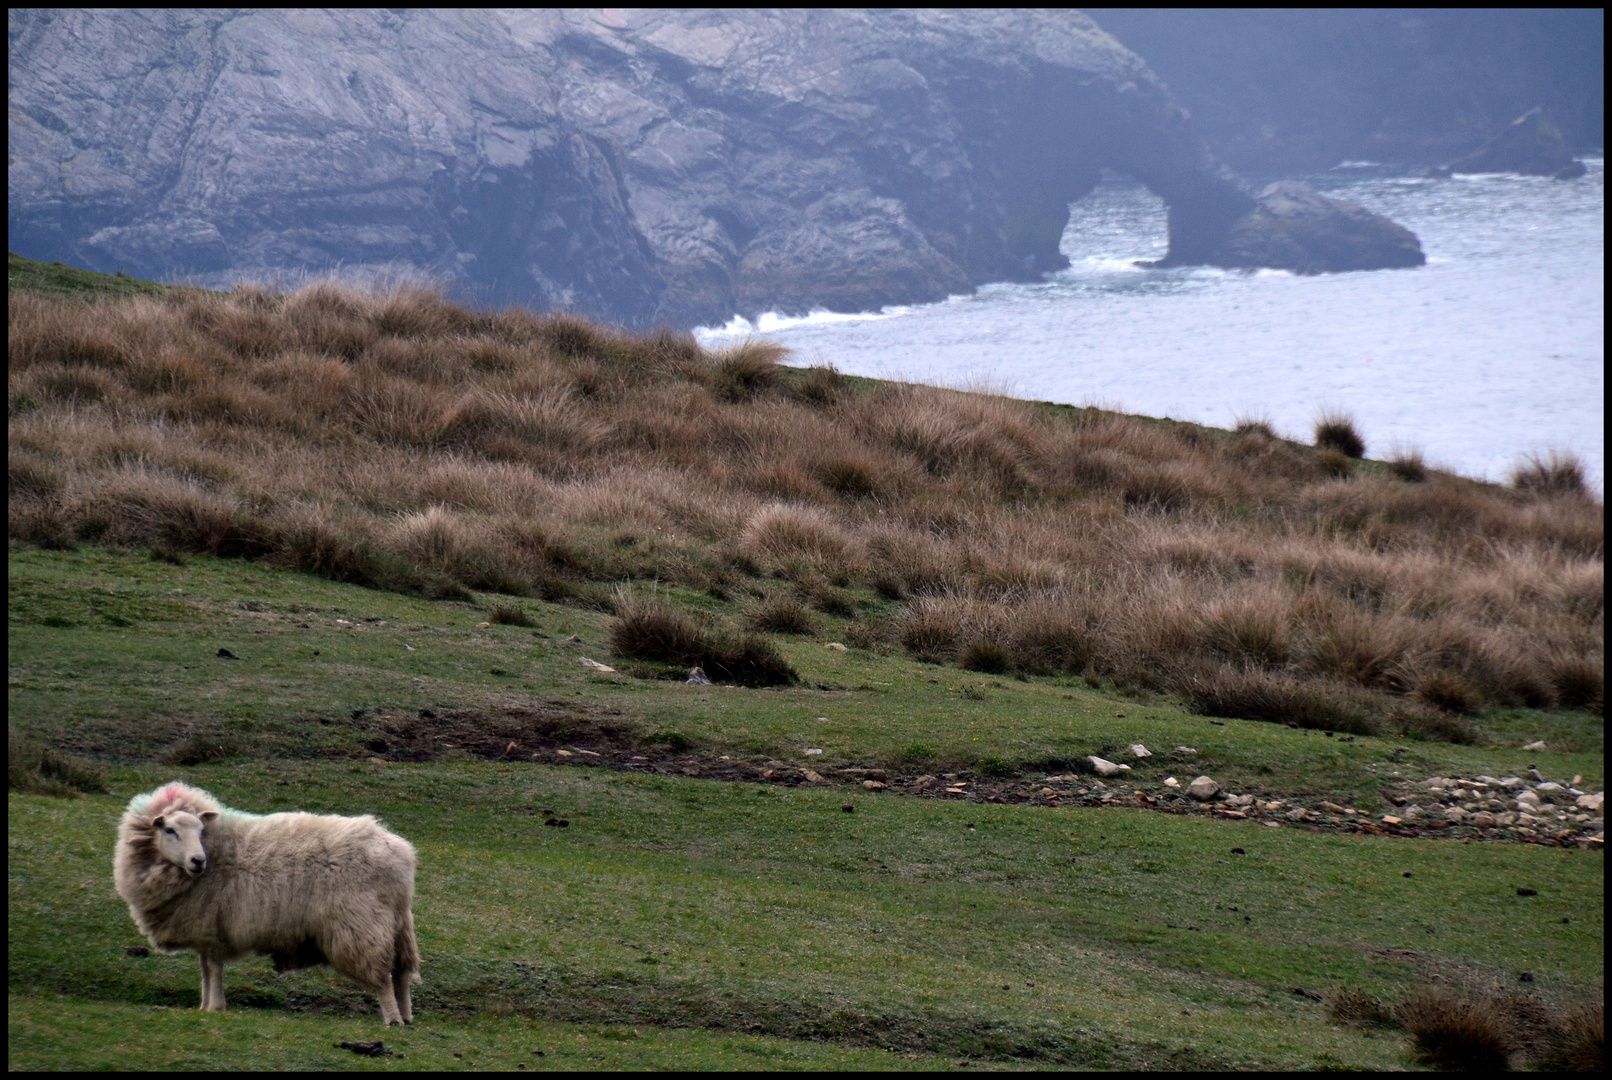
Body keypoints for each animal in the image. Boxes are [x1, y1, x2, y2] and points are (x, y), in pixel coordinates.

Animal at [117, 783, 422, 1025]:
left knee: (383, 975)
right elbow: (204, 968)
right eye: (169, 830)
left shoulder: (214, 925)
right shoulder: (205, 929)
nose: (197, 861)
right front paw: (203, 1006)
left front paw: (215, 1007)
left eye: (201, 830)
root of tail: (400, 853)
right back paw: (406, 1017)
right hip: (397, 922)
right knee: (401, 972)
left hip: (361, 923)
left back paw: (392, 1020)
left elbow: (213, 968)